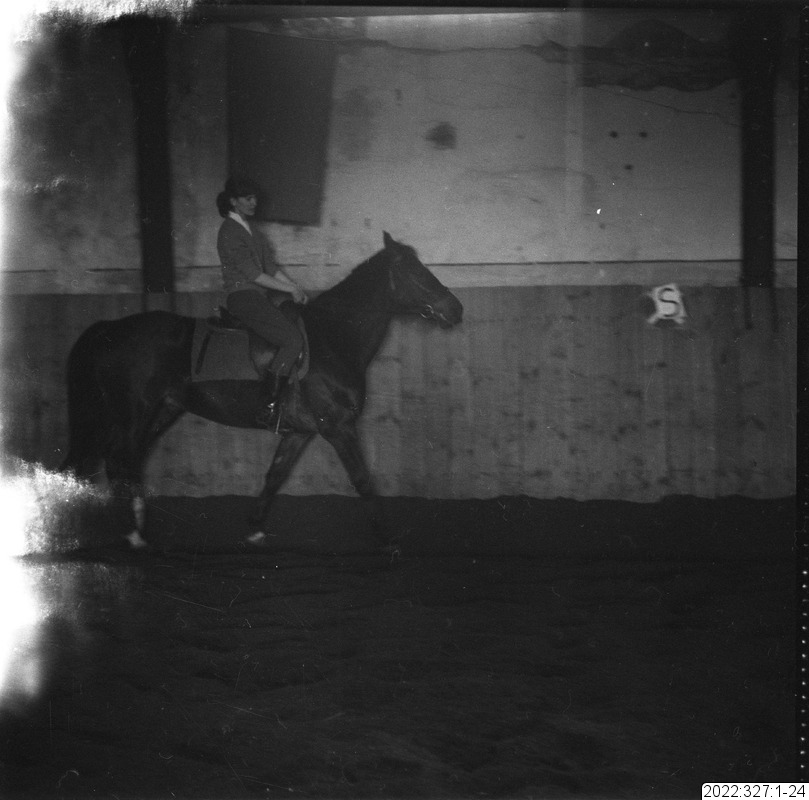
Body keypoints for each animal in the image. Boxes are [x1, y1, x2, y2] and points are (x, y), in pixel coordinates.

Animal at [59, 232, 463, 550]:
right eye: (416, 272)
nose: (455, 309)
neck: (331, 338)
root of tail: (110, 328)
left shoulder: (300, 432)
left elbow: (275, 475)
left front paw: (254, 528)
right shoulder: (338, 428)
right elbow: (363, 479)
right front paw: (388, 538)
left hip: (160, 409)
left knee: (120, 460)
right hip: (134, 410)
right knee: (118, 459)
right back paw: (133, 533)